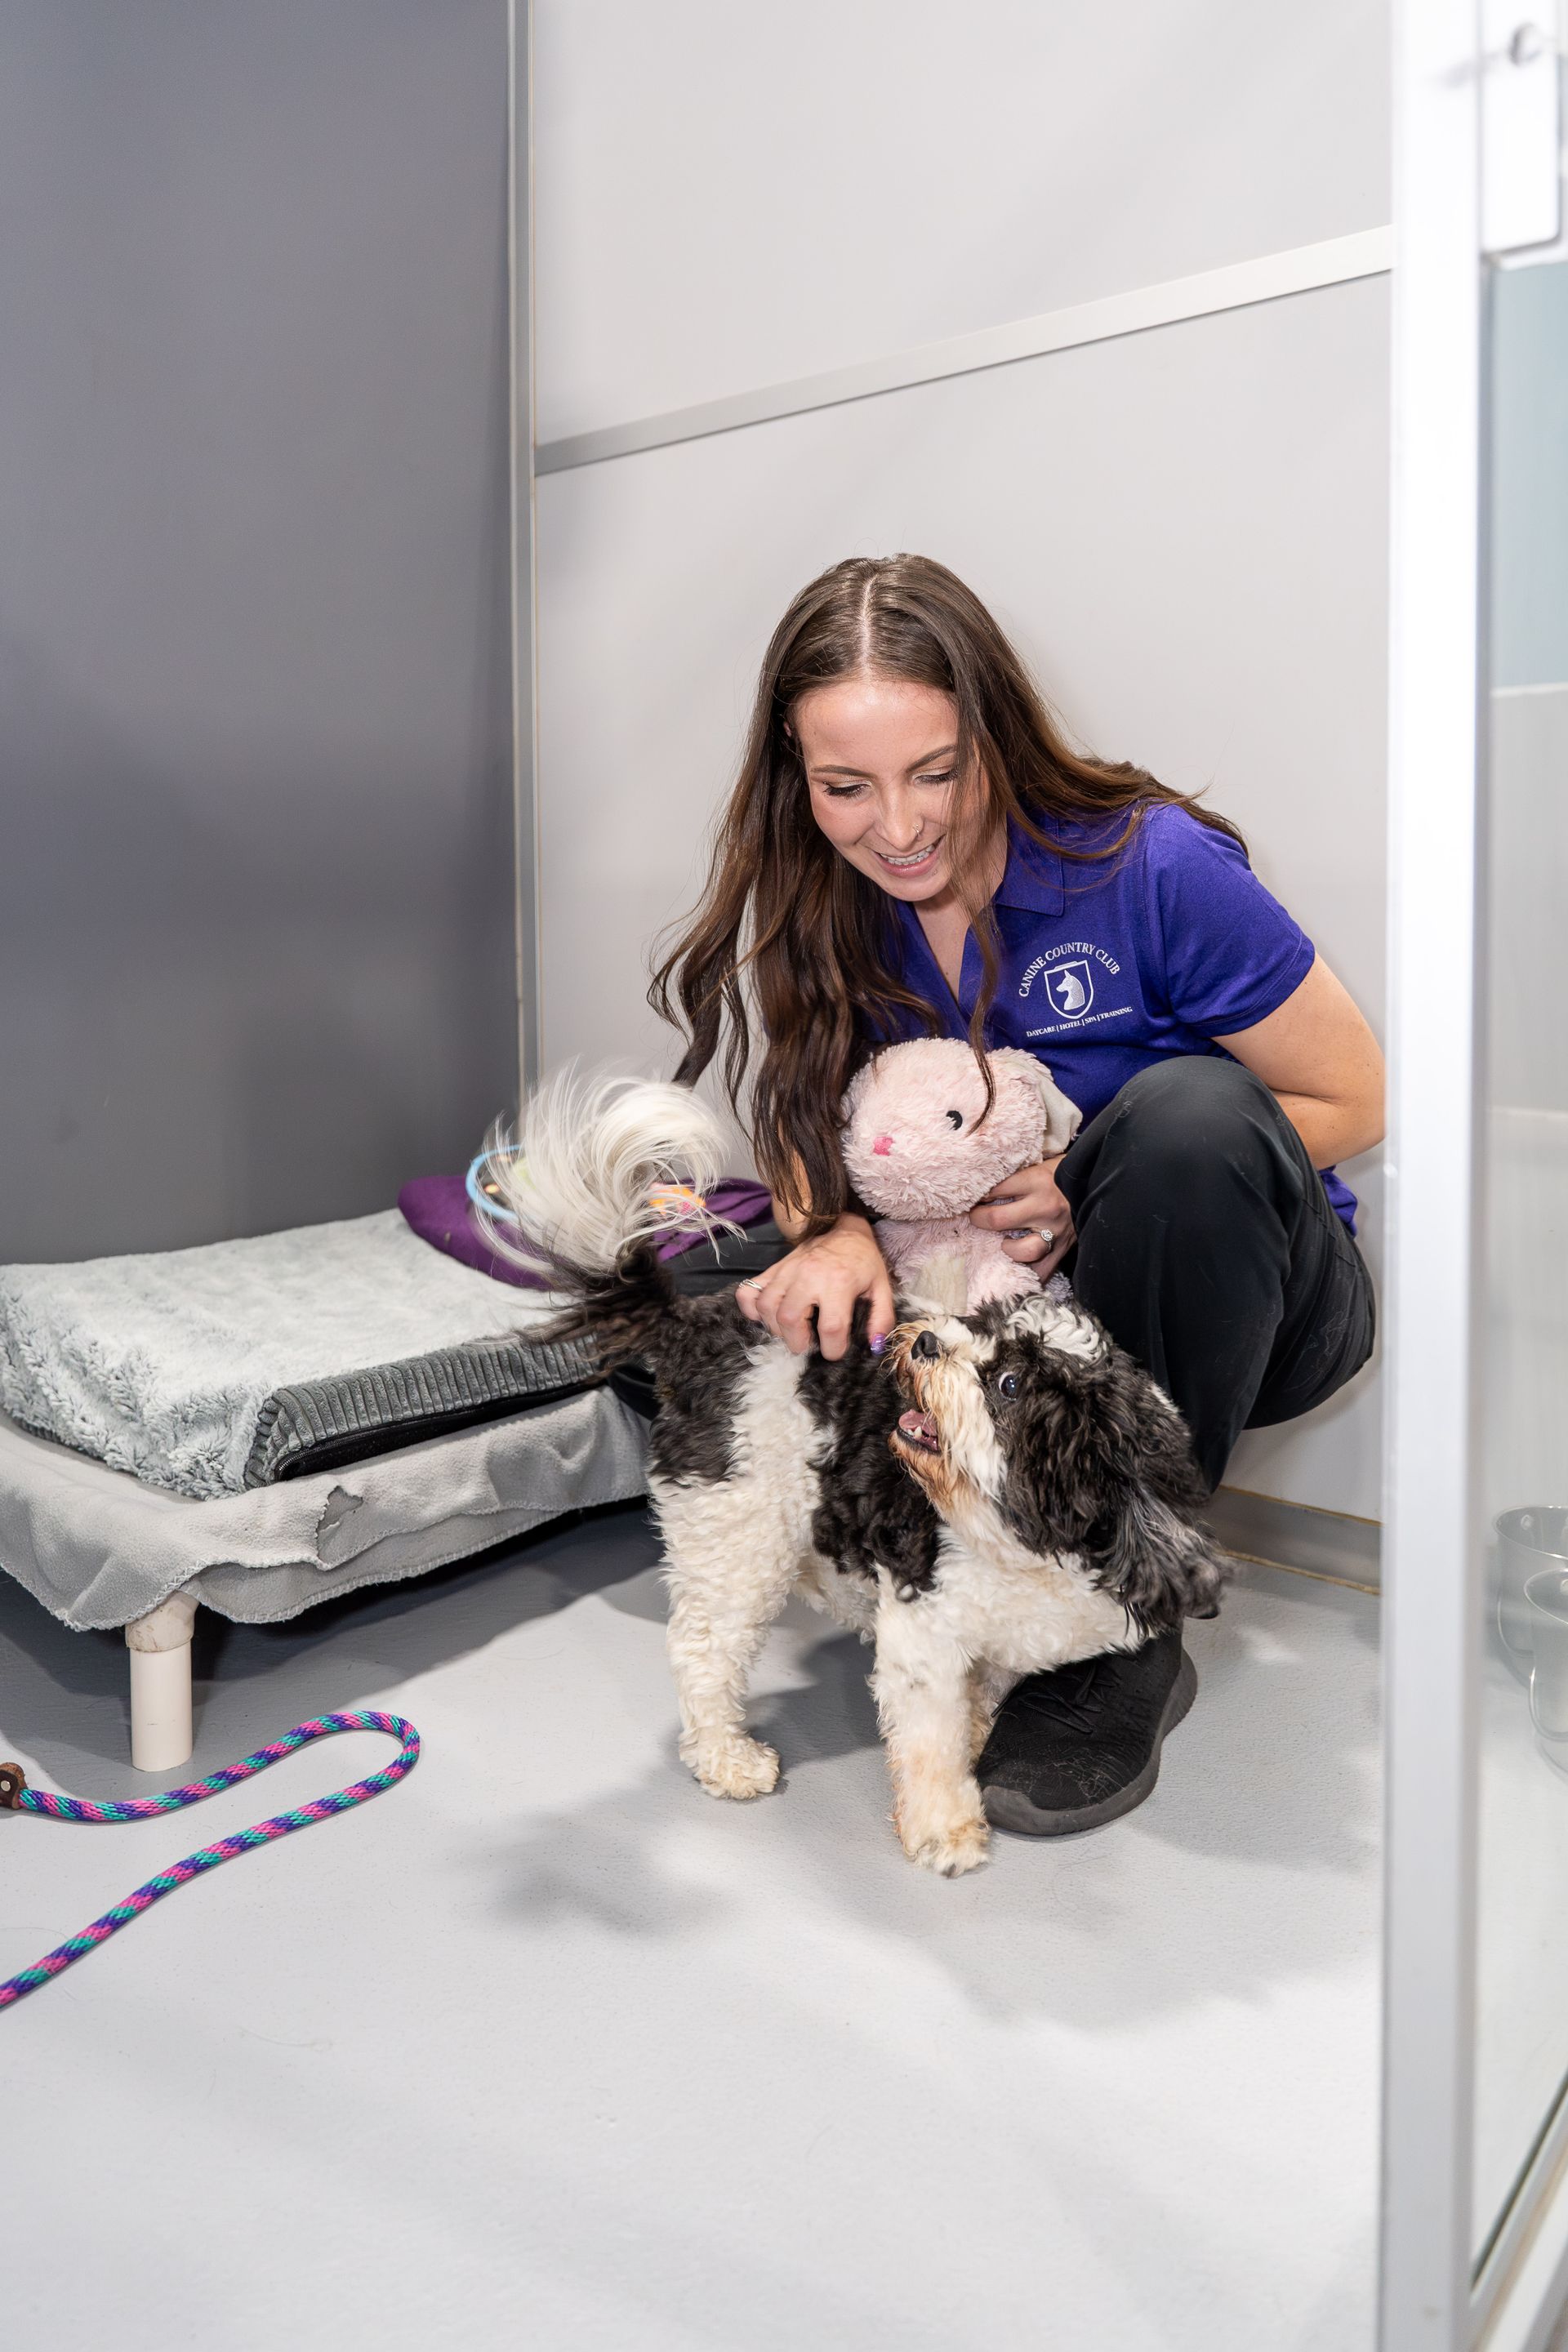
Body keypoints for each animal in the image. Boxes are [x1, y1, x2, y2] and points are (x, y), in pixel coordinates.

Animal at [483, 1077, 1232, 1882]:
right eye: (982, 1323)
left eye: (1008, 1383)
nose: (928, 1338)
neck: (1018, 1540)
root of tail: (694, 1327)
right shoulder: (927, 1632)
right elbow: (929, 1743)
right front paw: (944, 1829)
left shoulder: (1003, 1641)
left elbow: (976, 1702)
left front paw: (979, 1738)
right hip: (736, 1533)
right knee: (703, 1652)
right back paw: (727, 1758)